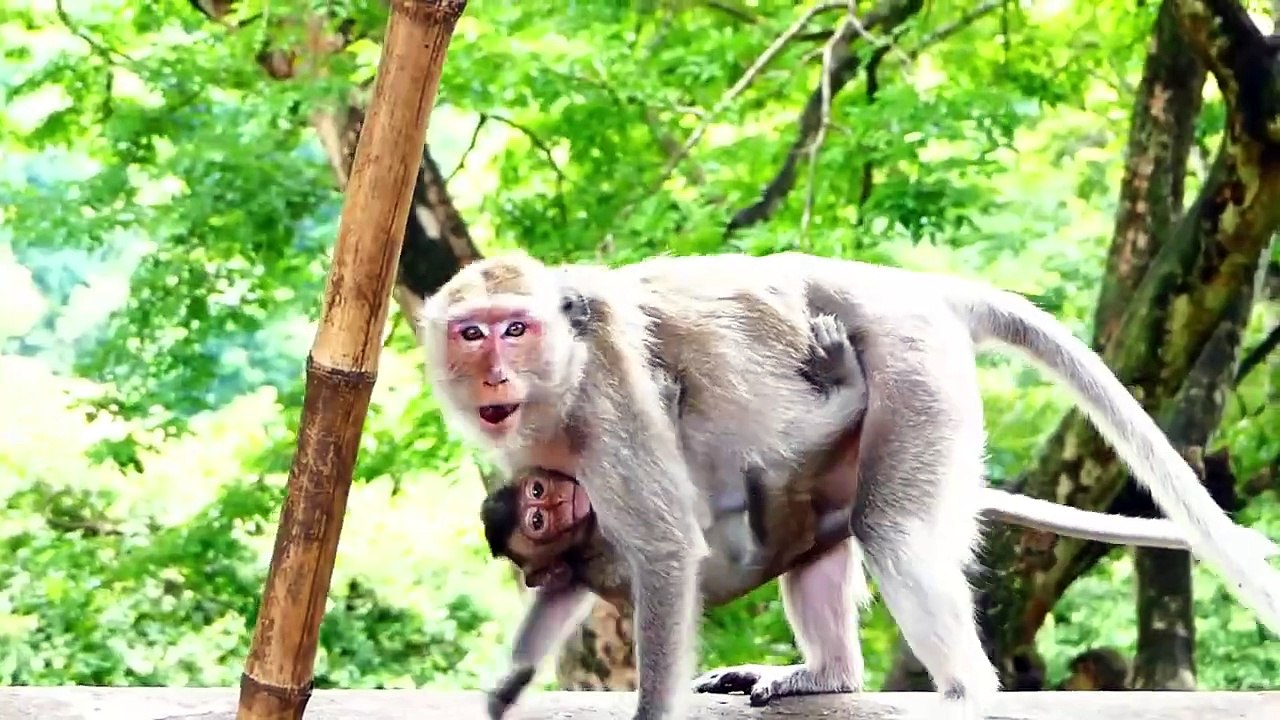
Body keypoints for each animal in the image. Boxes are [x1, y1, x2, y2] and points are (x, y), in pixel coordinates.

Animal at [420, 250, 1280, 720]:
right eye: (472, 332)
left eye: (515, 328)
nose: (493, 371)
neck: (560, 385)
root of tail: (916, 288)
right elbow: (567, 580)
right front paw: (506, 684)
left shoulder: (611, 401)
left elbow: (663, 550)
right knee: (817, 552)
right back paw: (827, 673)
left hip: (916, 374)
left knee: (893, 532)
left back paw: (966, 691)